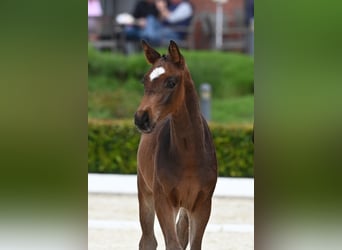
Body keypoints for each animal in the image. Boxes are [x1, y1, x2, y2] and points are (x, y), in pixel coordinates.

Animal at [134, 40, 216, 249]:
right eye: (144, 81)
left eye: (171, 82)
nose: (141, 118)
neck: (190, 154)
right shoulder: (163, 200)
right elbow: (172, 243)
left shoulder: (202, 204)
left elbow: (191, 244)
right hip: (145, 191)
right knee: (148, 240)